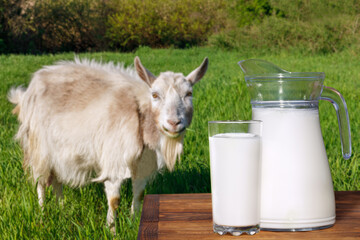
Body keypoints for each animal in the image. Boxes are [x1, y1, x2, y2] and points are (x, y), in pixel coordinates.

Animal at [7, 56, 208, 232]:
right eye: (155, 95)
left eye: (189, 94)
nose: (174, 123)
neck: (140, 112)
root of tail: (27, 91)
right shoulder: (114, 160)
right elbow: (114, 200)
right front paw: (111, 230)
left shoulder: (143, 162)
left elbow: (139, 193)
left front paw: (135, 220)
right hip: (38, 147)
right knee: (40, 182)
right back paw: (43, 214)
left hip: (58, 151)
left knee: (56, 180)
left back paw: (62, 208)